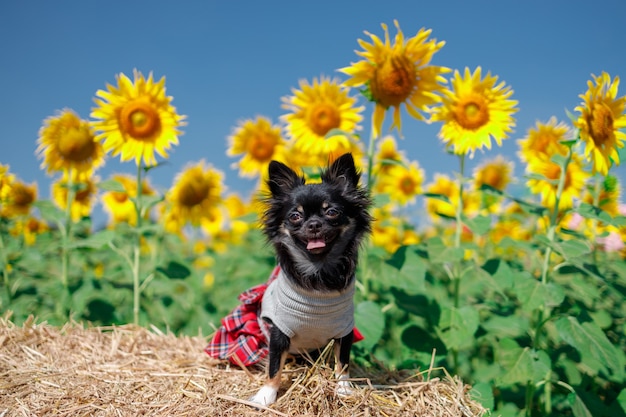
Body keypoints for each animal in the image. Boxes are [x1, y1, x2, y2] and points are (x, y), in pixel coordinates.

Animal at [247, 152, 370, 404]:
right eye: (295, 216)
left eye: (332, 212)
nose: (313, 224)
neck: (318, 271)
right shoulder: (279, 332)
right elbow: (274, 366)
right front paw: (266, 395)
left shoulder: (345, 330)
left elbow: (343, 363)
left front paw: (344, 389)